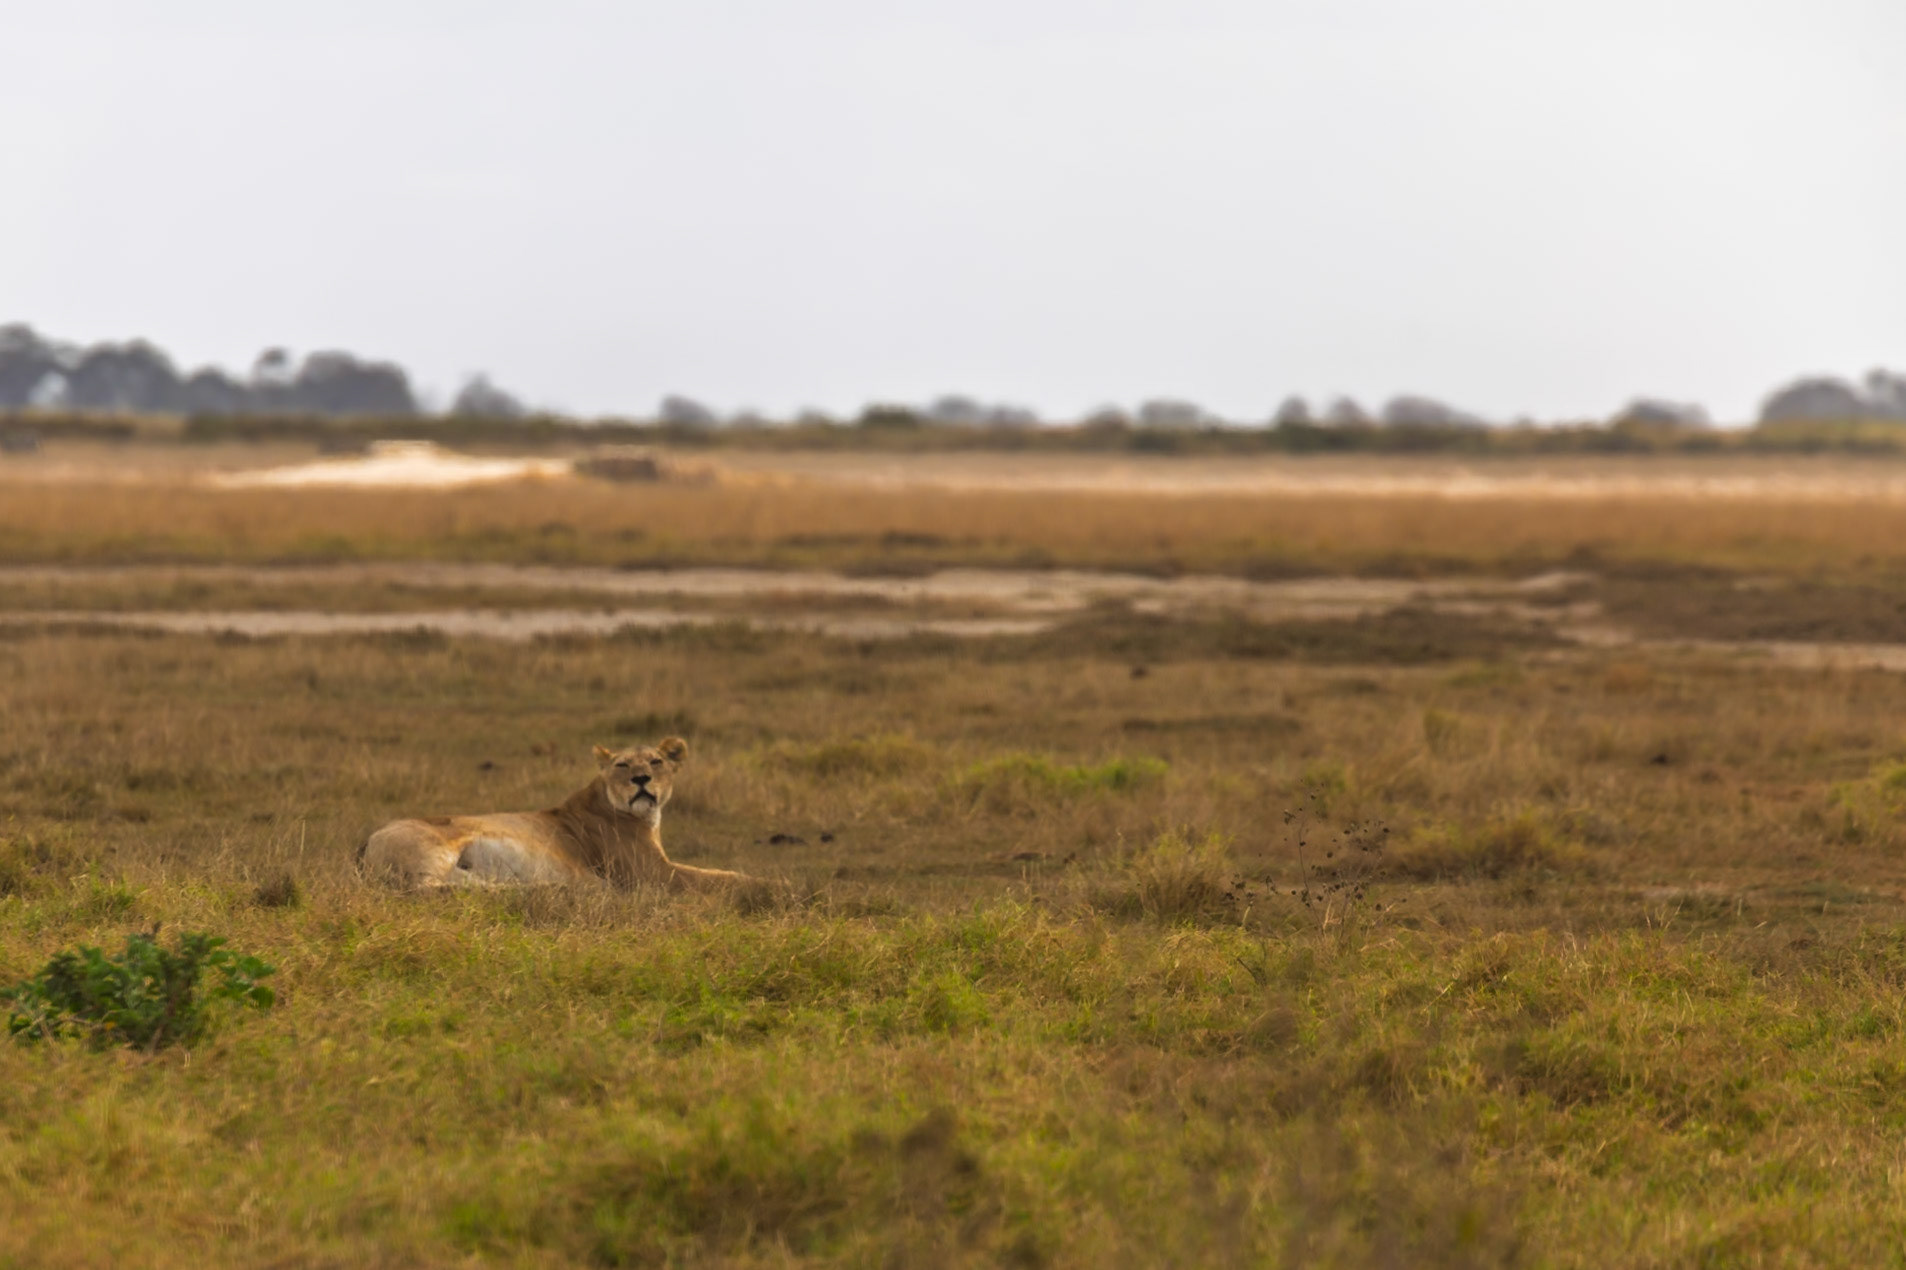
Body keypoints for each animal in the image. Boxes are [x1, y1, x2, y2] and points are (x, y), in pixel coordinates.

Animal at [359, 737, 754, 892]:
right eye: (623, 765)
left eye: (656, 762)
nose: (641, 779)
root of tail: (364, 845)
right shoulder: (653, 875)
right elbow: (718, 877)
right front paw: (765, 884)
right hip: (434, 849)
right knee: (428, 889)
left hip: (462, 869)